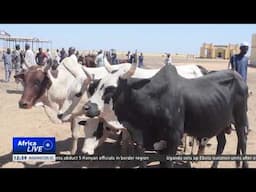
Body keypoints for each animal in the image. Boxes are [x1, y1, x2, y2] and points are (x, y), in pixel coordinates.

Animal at [83, 63, 249, 167]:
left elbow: (168, 163)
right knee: (222, 143)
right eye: (96, 86)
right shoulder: (146, 140)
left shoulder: (174, 137)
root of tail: (238, 76)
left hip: (240, 120)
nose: (86, 107)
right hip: (219, 122)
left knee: (243, 142)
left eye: (111, 89)